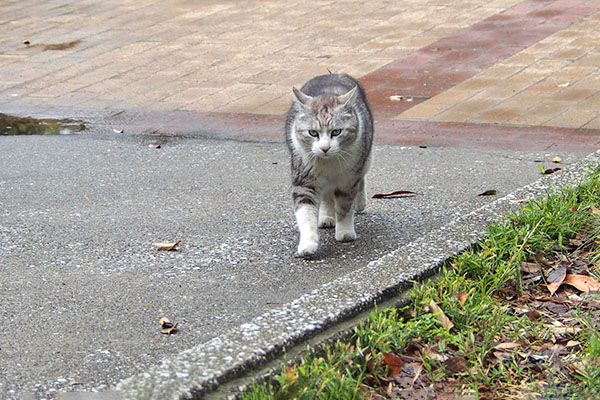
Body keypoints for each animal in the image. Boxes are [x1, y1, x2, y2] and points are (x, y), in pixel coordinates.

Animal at [288, 73, 376, 258]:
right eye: (312, 132)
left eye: (336, 132)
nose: (325, 148)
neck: (329, 163)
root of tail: (331, 73)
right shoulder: (304, 180)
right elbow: (305, 213)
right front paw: (308, 244)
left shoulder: (348, 180)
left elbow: (344, 206)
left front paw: (345, 233)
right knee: (327, 196)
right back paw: (326, 218)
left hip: (366, 156)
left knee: (362, 179)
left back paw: (360, 203)